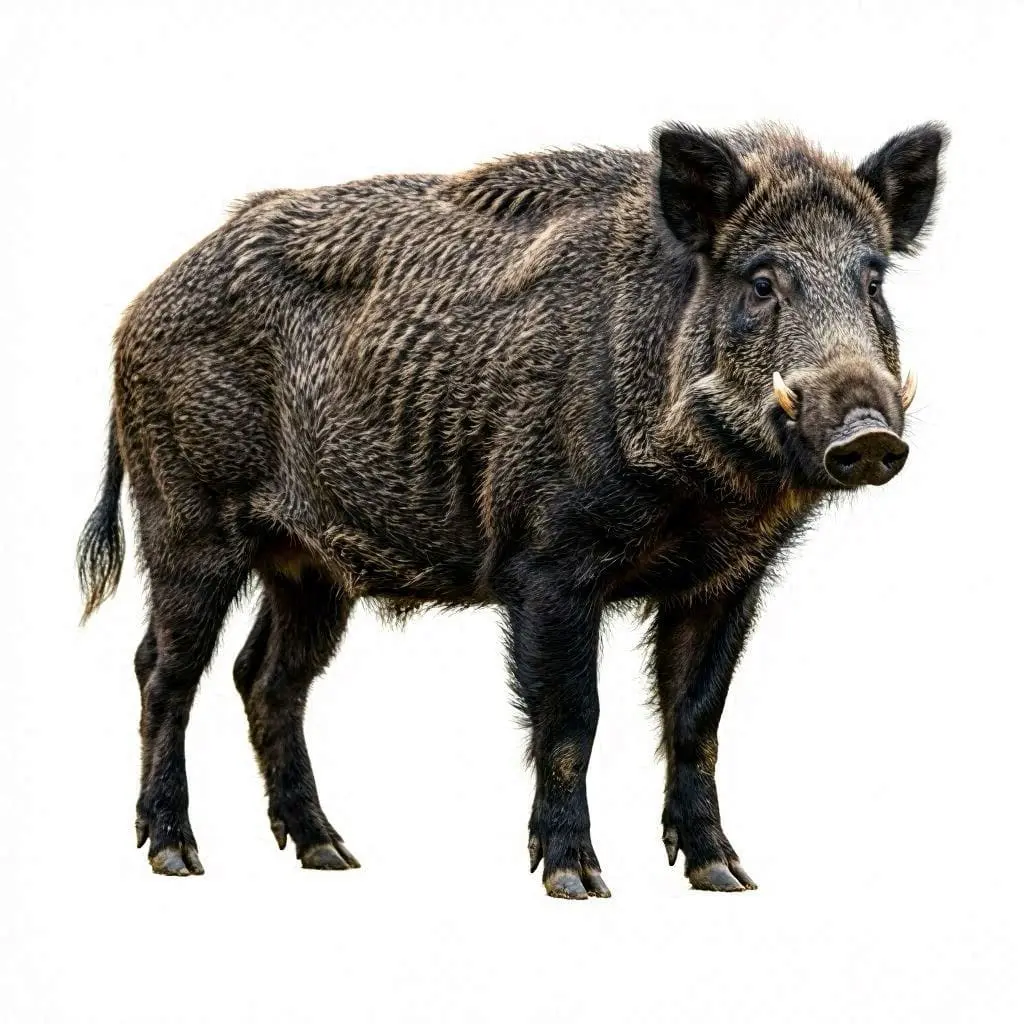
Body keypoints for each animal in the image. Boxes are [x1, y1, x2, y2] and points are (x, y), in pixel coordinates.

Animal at [77, 121, 945, 897]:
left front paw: (725, 877)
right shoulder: (549, 562)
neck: (704, 495)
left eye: (873, 280)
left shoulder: (728, 580)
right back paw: (176, 856)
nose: (868, 435)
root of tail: (132, 313)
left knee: (266, 678)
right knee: (164, 669)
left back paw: (330, 854)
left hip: (311, 566)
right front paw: (575, 881)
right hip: (185, 519)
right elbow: (571, 718)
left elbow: (698, 721)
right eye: (762, 281)